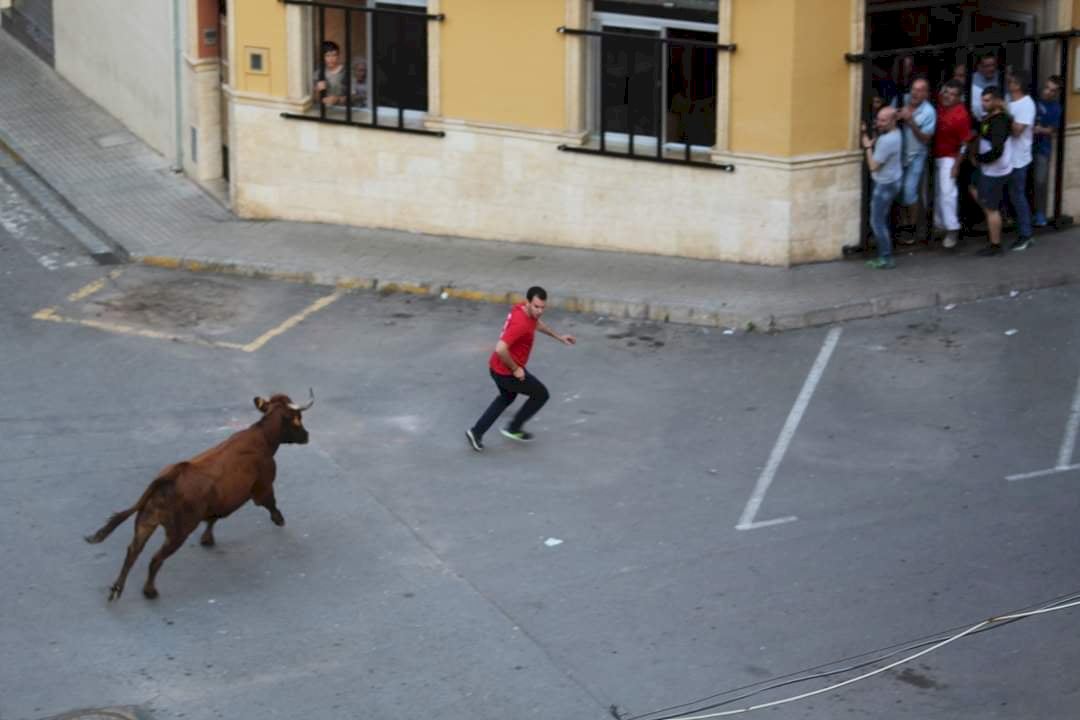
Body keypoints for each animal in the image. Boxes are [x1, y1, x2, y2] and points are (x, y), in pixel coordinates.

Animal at [85, 390, 314, 601]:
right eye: (298, 419)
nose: (307, 436)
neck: (263, 437)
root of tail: (169, 476)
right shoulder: (262, 487)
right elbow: (270, 503)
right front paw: (279, 519)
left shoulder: (221, 501)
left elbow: (214, 518)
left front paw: (207, 539)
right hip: (178, 532)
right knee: (155, 559)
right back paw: (149, 591)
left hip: (146, 522)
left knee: (133, 552)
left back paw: (117, 589)